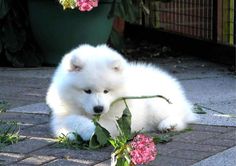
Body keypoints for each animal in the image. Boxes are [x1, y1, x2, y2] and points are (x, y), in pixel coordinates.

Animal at [46, 44, 197, 140]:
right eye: (87, 91)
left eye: (106, 91)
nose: (98, 108)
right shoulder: (61, 115)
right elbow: (71, 120)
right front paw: (75, 133)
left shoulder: (118, 119)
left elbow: (103, 126)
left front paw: (92, 131)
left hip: (158, 104)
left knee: (178, 116)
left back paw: (168, 125)